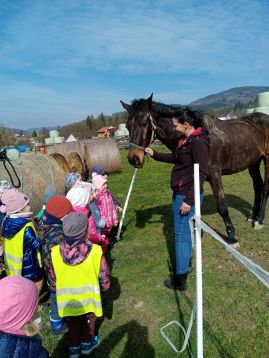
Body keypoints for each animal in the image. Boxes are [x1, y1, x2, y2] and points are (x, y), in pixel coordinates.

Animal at [120, 92, 268, 245]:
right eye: (128, 126)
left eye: (144, 123)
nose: (133, 159)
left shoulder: (215, 175)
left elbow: (222, 207)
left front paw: (232, 237)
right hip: (253, 163)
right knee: (257, 186)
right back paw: (253, 217)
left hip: (266, 159)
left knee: (265, 188)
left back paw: (259, 220)